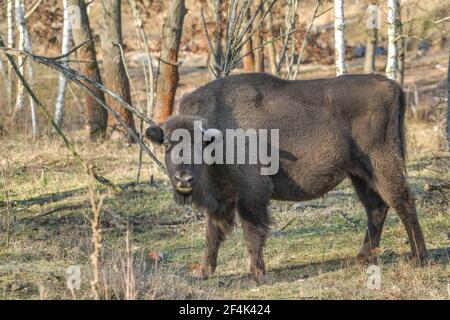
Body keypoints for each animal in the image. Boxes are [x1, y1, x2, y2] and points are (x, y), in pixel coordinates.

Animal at [147, 72, 428, 282]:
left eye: (198, 145)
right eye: (168, 144)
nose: (184, 180)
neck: (217, 132)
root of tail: (391, 85)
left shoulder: (252, 193)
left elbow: (252, 232)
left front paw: (256, 275)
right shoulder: (222, 199)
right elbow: (212, 235)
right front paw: (203, 271)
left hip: (382, 164)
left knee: (403, 202)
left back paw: (419, 258)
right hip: (359, 174)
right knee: (376, 208)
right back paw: (362, 258)